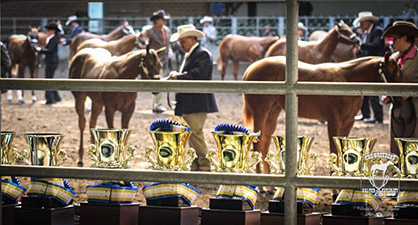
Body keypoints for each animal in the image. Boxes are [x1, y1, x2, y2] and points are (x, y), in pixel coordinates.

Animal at [243, 53, 404, 174]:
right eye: (390, 74)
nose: (401, 100)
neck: (347, 80)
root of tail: (250, 69)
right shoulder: (334, 121)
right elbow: (335, 152)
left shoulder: (348, 122)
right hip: (260, 114)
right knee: (257, 146)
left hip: (272, 113)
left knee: (264, 144)